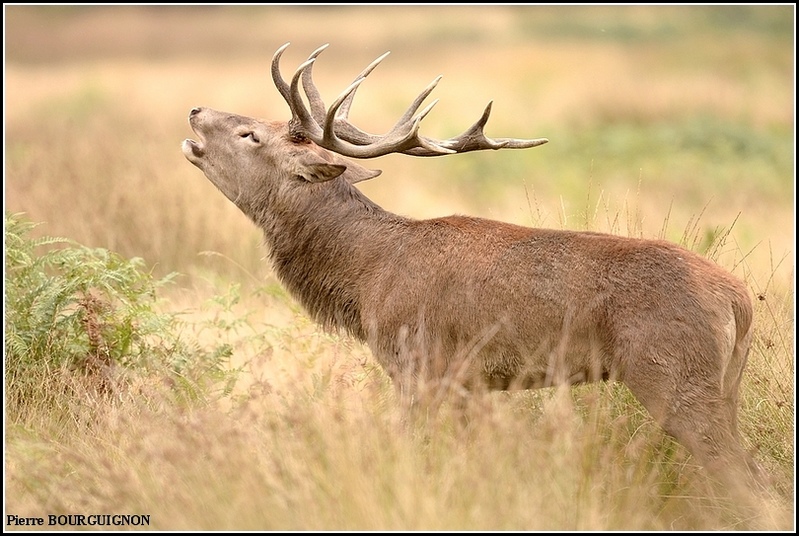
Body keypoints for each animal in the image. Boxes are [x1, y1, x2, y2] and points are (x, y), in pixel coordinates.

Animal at [181, 44, 764, 492]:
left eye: (251, 135)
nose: (195, 110)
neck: (366, 276)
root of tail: (739, 299)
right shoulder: (469, 384)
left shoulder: (419, 363)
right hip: (725, 386)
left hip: (674, 374)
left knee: (746, 478)